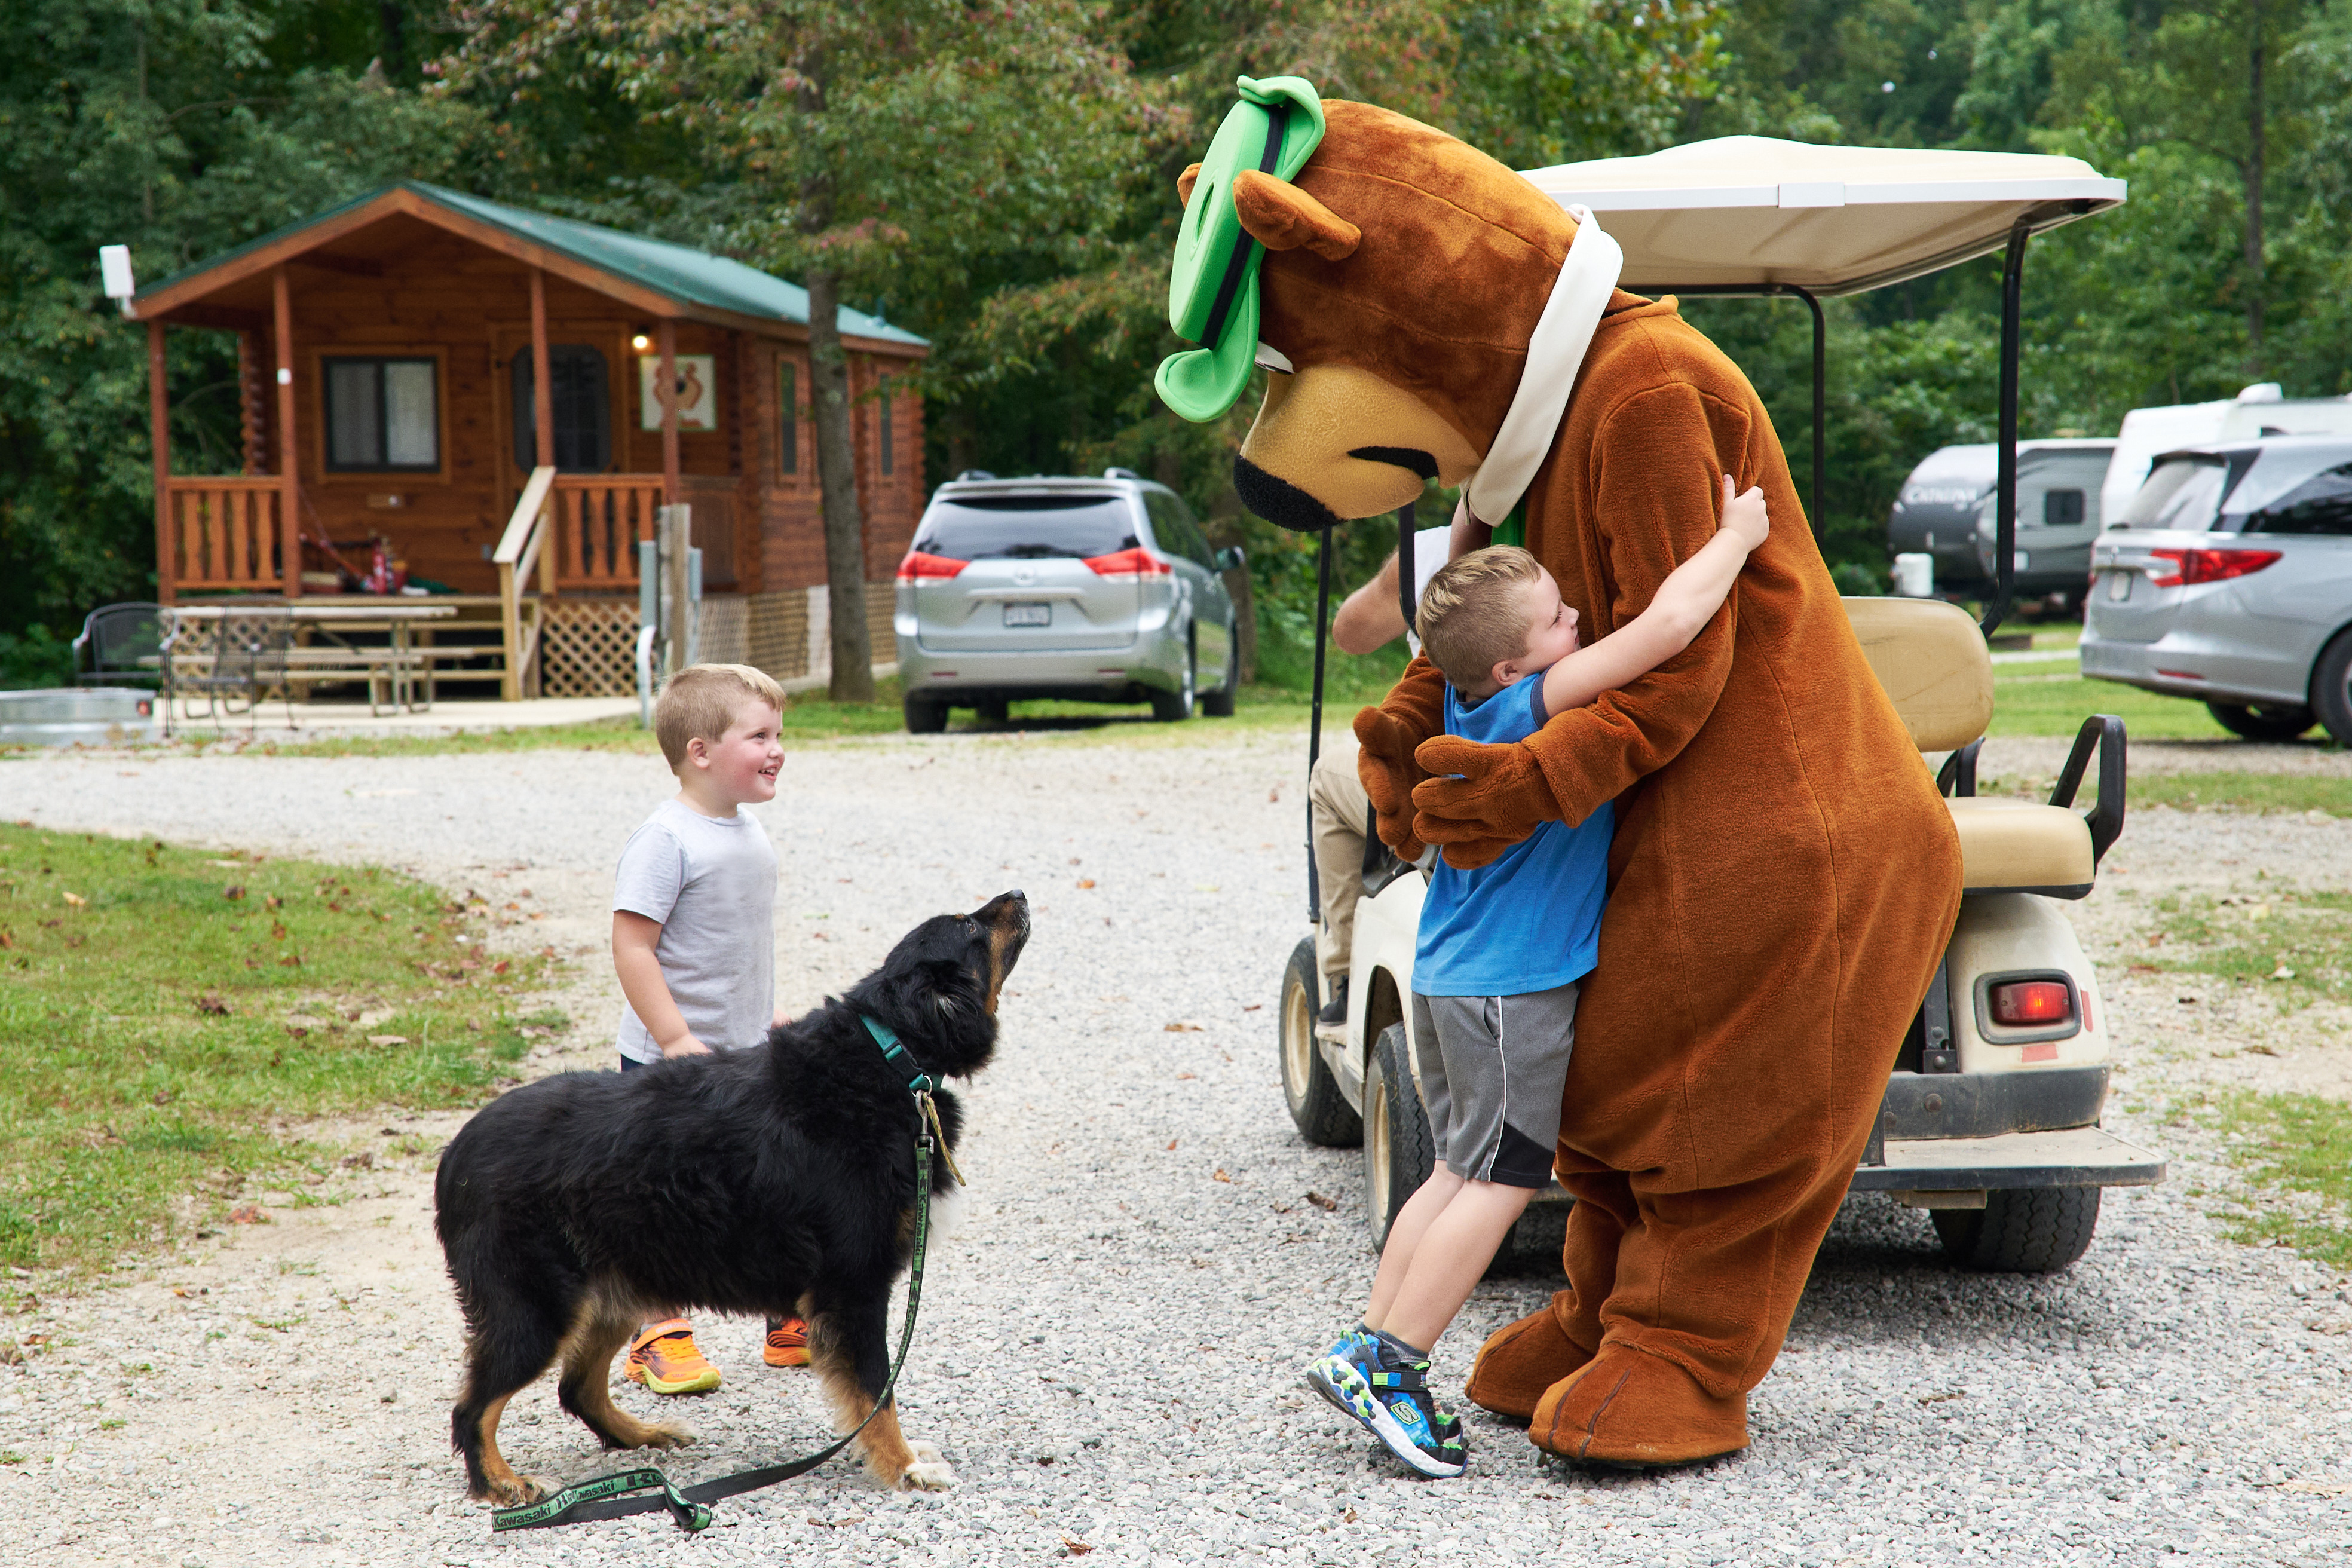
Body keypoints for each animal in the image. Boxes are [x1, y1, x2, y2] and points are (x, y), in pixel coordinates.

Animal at [442, 889, 1030, 1504]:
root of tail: (457, 1152)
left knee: (577, 1387)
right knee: (473, 1409)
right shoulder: (854, 1287)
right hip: (536, 1308)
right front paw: (903, 1467)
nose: (1017, 895)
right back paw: (503, 1484)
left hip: (613, 1290)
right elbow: (877, 1390)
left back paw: (643, 1438)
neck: (892, 1057)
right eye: (968, 926)